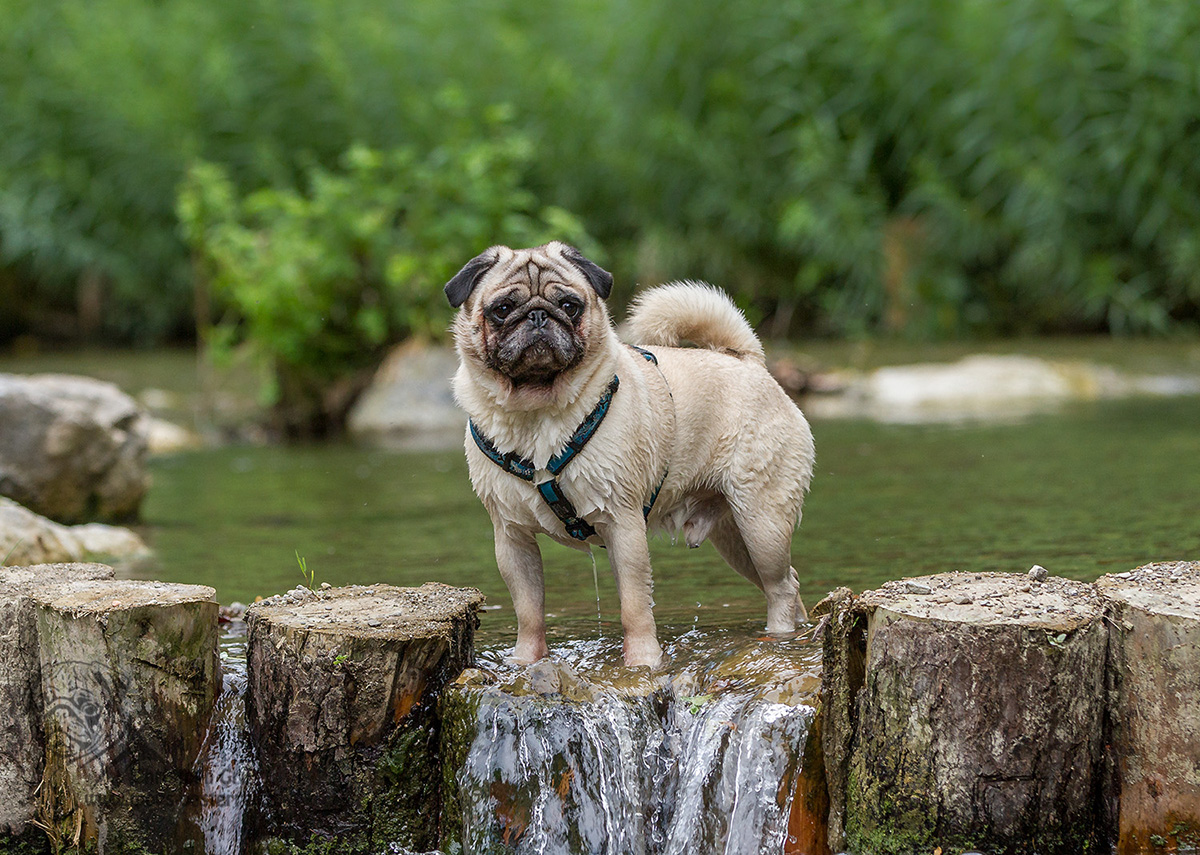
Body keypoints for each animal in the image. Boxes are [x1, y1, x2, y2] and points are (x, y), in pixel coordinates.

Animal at [448, 240, 816, 667]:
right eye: (503, 309)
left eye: (570, 305)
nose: (539, 314)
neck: (536, 415)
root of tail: (746, 360)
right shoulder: (512, 538)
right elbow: (528, 611)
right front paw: (527, 662)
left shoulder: (623, 525)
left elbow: (635, 606)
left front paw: (643, 662)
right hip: (736, 539)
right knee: (788, 582)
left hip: (762, 525)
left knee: (780, 586)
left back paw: (778, 636)